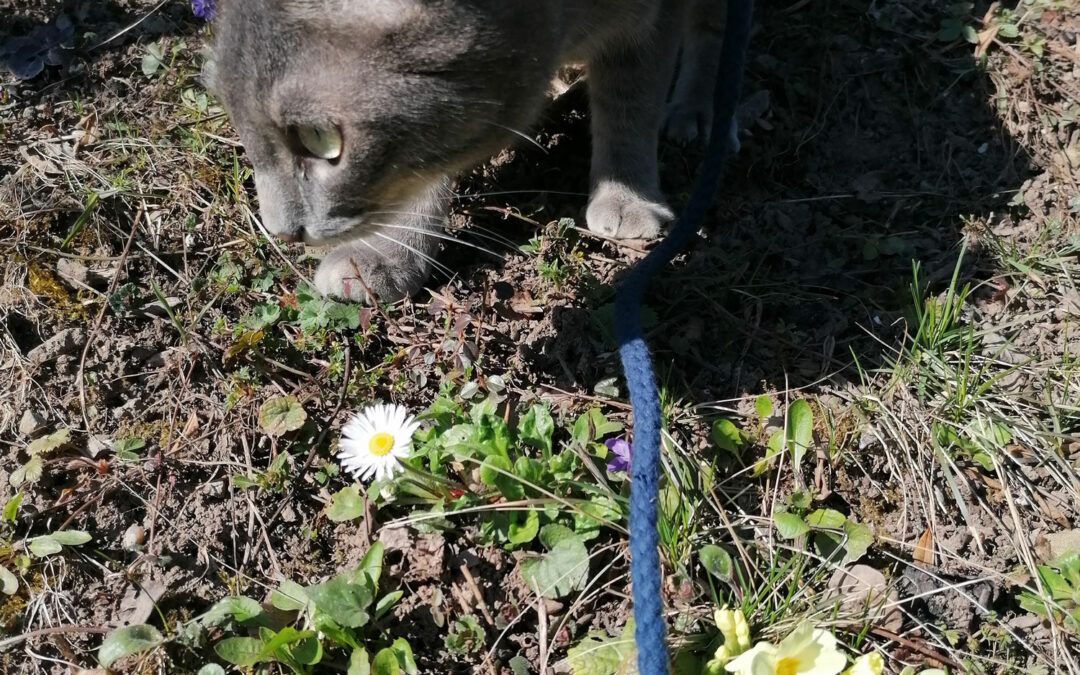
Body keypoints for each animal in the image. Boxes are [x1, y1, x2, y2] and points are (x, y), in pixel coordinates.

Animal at [205, 0, 730, 302]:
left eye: (320, 138)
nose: (281, 231)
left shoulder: (655, 17)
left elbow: (630, 104)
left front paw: (627, 196)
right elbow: (427, 165)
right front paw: (391, 251)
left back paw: (697, 110)